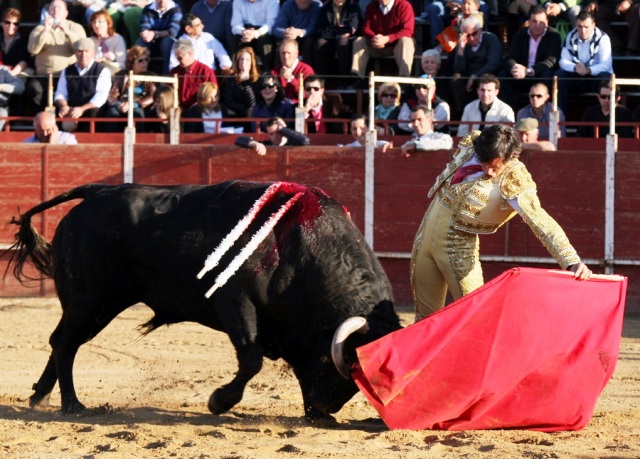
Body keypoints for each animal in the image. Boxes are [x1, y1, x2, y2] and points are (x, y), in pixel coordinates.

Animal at [6, 181, 400, 422]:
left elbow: (284, 363)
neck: (298, 248)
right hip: (88, 298)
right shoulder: (236, 303)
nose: (324, 405)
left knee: (63, 341)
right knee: (66, 343)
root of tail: (96, 191)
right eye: (341, 365)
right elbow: (252, 359)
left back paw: (40, 397)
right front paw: (218, 402)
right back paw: (72, 405)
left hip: (102, 304)